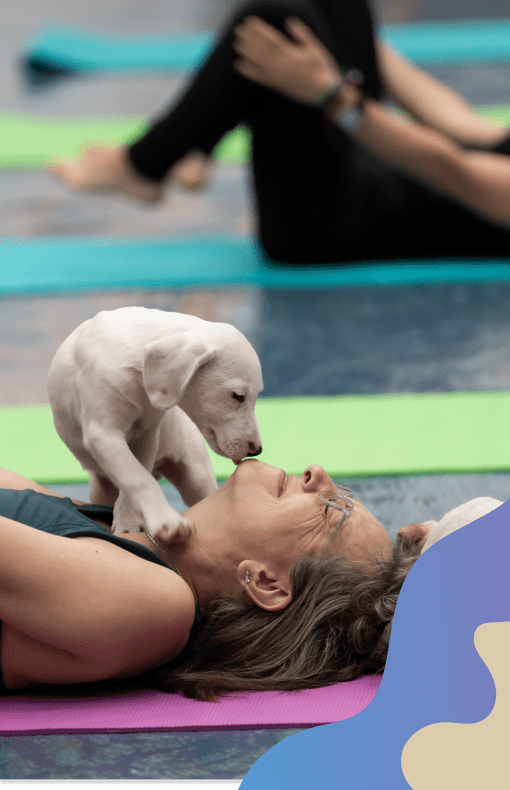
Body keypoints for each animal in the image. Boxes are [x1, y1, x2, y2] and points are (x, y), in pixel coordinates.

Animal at [47, 308, 262, 544]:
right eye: (238, 396)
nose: (257, 450)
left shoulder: (146, 435)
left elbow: (138, 476)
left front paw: (128, 521)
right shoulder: (103, 435)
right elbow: (137, 478)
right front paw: (166, 520)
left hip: (196, 478)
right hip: (100, 491)